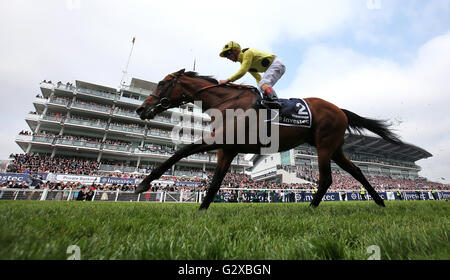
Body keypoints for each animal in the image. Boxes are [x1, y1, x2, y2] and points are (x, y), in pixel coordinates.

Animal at [135, 69, 402, 211]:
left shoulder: (219, 140)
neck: (226, 102)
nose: (141, 109)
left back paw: (310, 208)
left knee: (326, 178)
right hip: (335, 148)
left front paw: (143, 183)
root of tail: (340, 110)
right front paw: (202, 209)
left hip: (325, 146)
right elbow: (216, 181)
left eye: (161, 83)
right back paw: (380, 202)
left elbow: (180, 152)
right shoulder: (227, 149)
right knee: (356, 170)